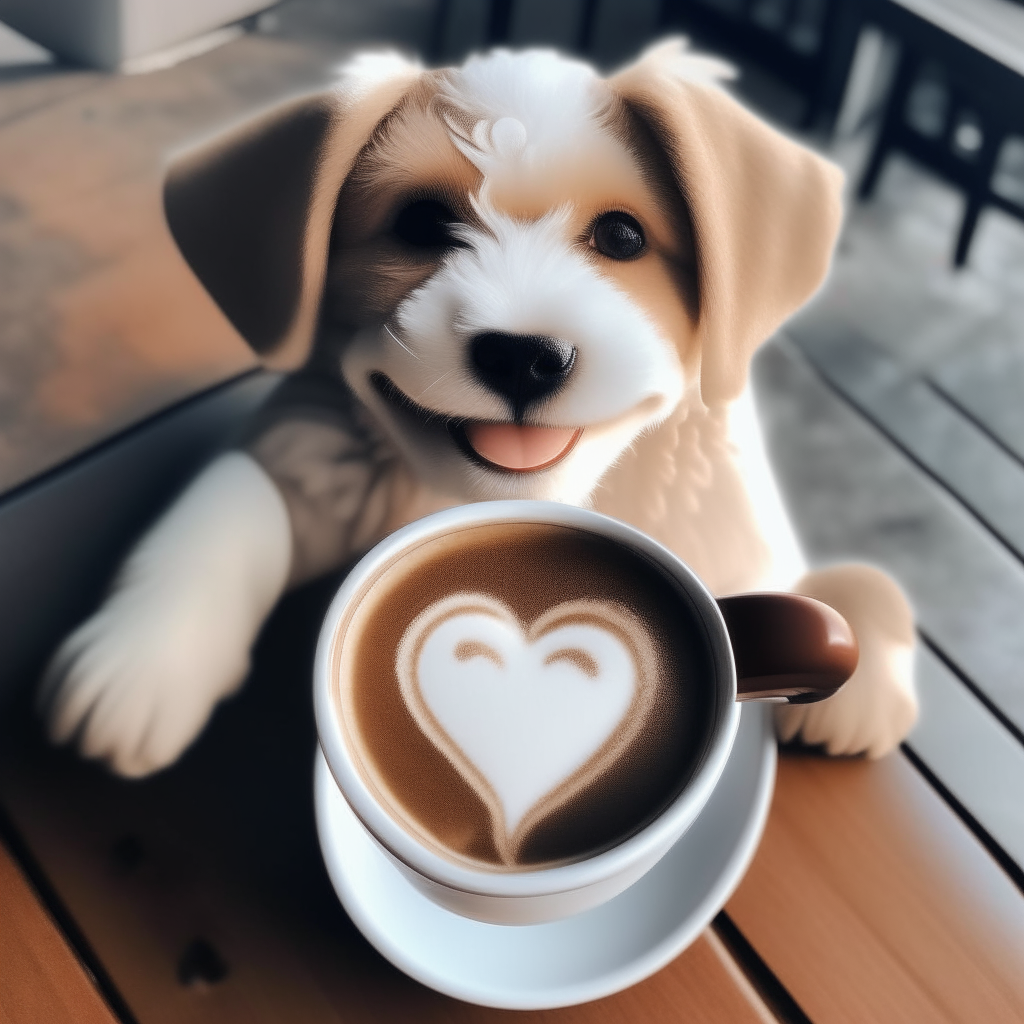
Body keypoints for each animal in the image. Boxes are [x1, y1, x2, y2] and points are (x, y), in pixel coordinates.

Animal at [41, 39, 921, 774]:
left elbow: (856, 584)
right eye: (422, 223)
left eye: (622, 237)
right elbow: (233, 492)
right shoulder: (313, 440)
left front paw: (857, 677)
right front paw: (143, 657)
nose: (524, 356)